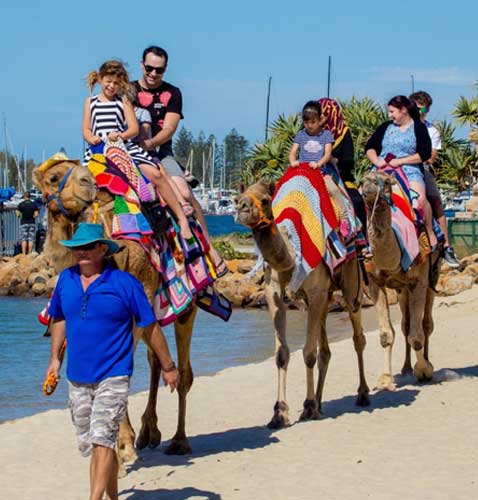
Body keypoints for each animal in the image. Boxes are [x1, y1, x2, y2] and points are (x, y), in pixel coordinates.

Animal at [235, 178, 370, 428]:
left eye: (265, 200)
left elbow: (308, 353)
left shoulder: (315, 291)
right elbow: (282, 354)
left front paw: (307, 407)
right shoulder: (274, 293)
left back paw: (362, 394)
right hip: (324, 297)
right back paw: (320, 402)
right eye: (237, 198)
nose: (242, 208)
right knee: (326, 349)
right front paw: (279, 413)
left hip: (350, 282)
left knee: (358, 337)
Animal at [358, 170, 440, 388]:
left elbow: (417, 336)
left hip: (432, 275)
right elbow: (386, 335)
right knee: (406, 324)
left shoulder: (418, 280)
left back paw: (425, 363)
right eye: (361, 181)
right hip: (401, 289)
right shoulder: (375, 282)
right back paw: (405, 368)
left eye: (386, 182)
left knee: (426, 324)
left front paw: (424, 370)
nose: (368, 185)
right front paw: (386, 379)